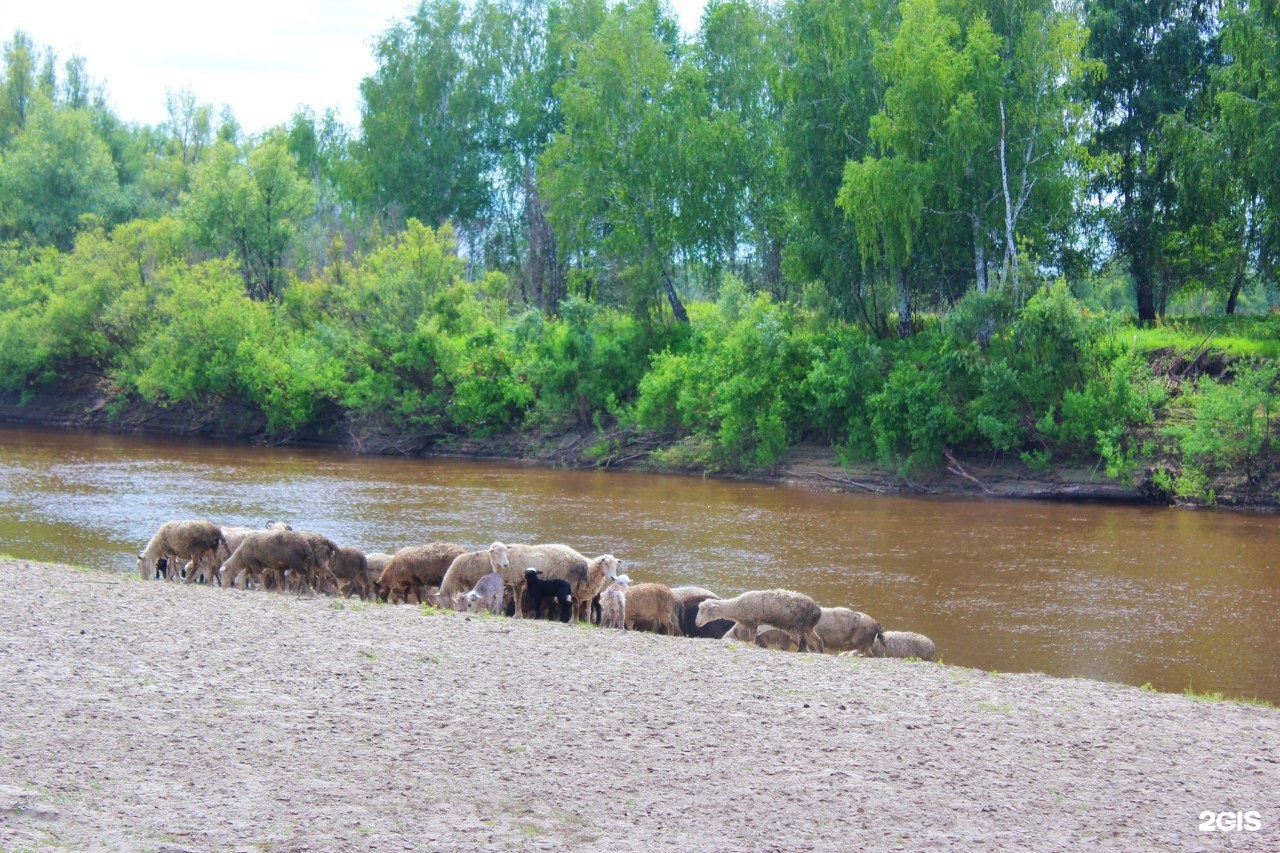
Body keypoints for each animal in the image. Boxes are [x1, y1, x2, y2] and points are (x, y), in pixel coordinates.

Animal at [696, 589, 824, 648]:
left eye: (703, 610)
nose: (696, 623)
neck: (735, 606)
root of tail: (817, 611)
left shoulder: (753, 622)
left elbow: (751, 639)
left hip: (800, 626)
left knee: (803, 644)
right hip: (806, 627)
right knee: (817, 641)